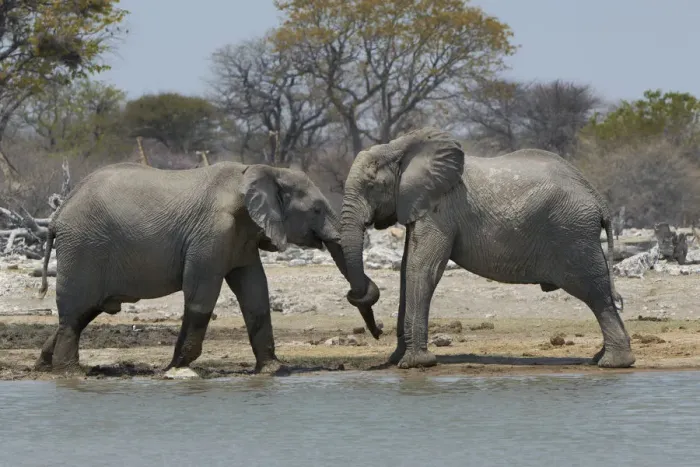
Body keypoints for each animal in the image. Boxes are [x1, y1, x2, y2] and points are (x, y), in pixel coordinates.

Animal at [35, 161, 382, 374]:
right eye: (317, 209)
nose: (378, 333)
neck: (260, 169)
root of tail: (58, 214)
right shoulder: (212, 232)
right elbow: (201, 293)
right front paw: (176, 368)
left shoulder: (242, 237)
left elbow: (255, 292)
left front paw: (272, 369)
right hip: (83, 248)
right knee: (76, 313)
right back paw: (71, 372)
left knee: (83, 313)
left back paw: (44, 364)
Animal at [340, 127, 635, 370]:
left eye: (371, 185)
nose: (377, 331)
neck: (400, 147)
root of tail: (598, 199)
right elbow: (405, 270)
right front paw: (397, 360)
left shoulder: (440, 209)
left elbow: (422, 268)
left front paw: (414, 364)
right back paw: (600, 358)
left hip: (573, 234)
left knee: (595, 292)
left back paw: (613, 363)